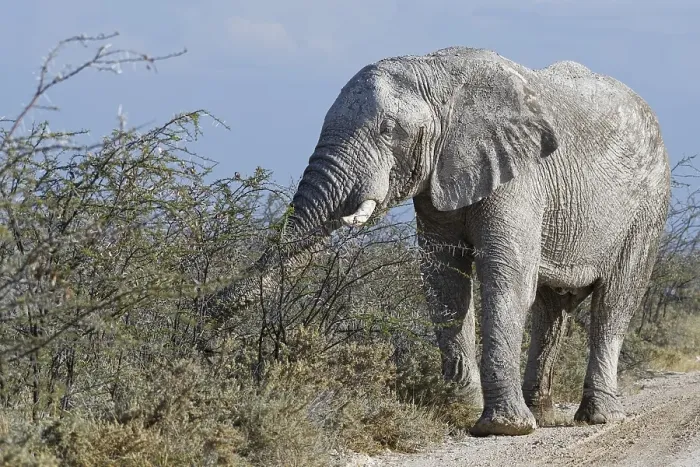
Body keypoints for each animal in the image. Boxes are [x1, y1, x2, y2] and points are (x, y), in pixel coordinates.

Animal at [223, 46, 671, 437]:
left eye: (389, 132)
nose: (210, 314)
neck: (435, 72)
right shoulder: (439, 178)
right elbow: (444, 282)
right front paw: (459, 408)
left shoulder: (521, 175)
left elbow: (506, 278)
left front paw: (502, 429)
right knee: (552, 308)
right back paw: (543, 415)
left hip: (648, 207)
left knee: (614, 303)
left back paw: (601, 418)